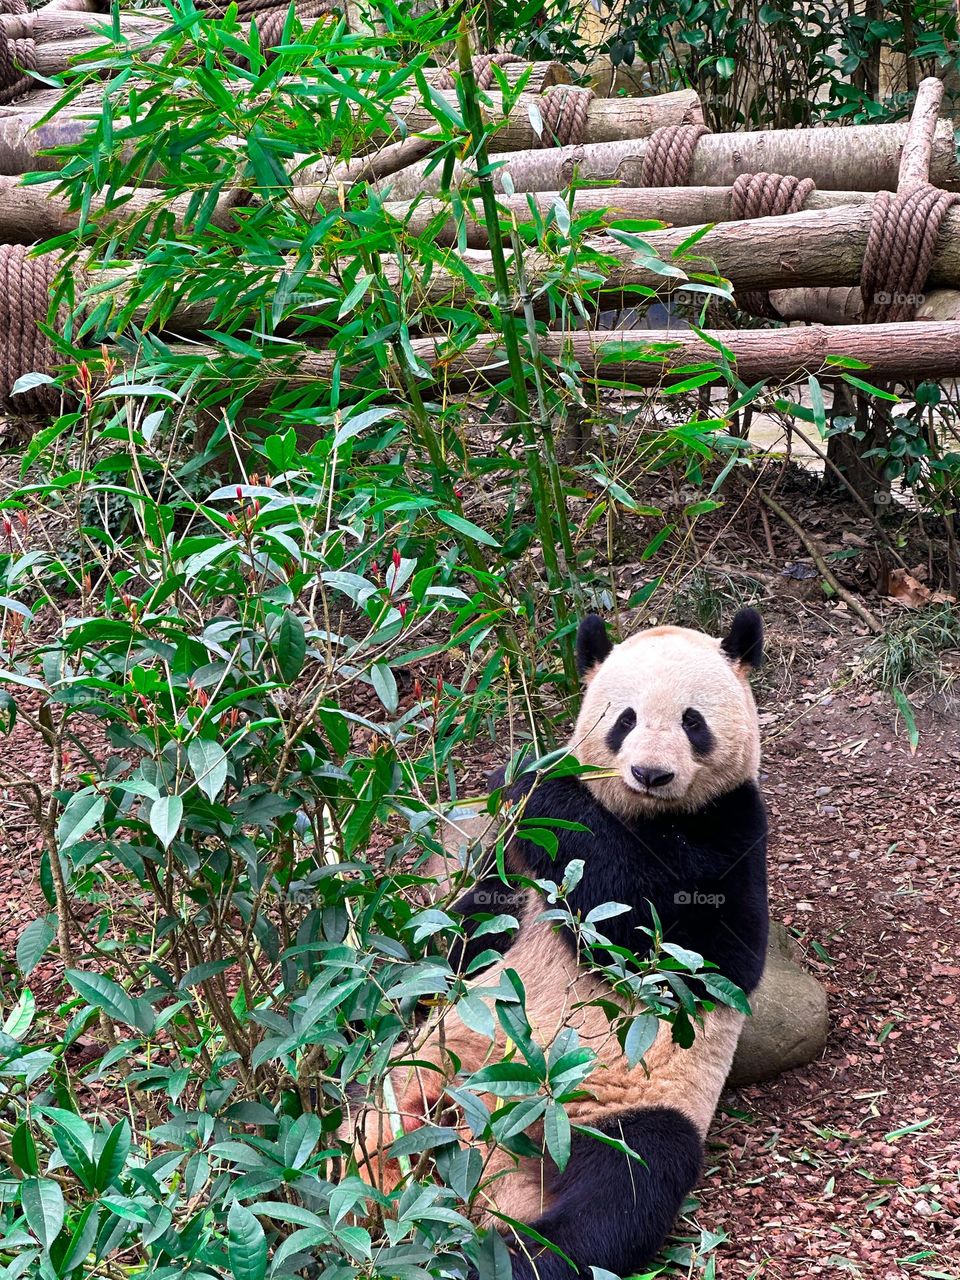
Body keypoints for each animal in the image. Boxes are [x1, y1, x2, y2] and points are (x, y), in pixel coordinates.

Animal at [343, 609, 773, 1280]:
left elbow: (696, 949)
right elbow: (471, 926)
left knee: (621, 1194)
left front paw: (533, 778)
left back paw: (494, 1259)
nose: (651, 774)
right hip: (417, 1064)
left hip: (613, 1113)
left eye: (692, 721)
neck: (644, 816)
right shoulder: (511, 864)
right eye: (624, 719)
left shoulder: (735, 828)